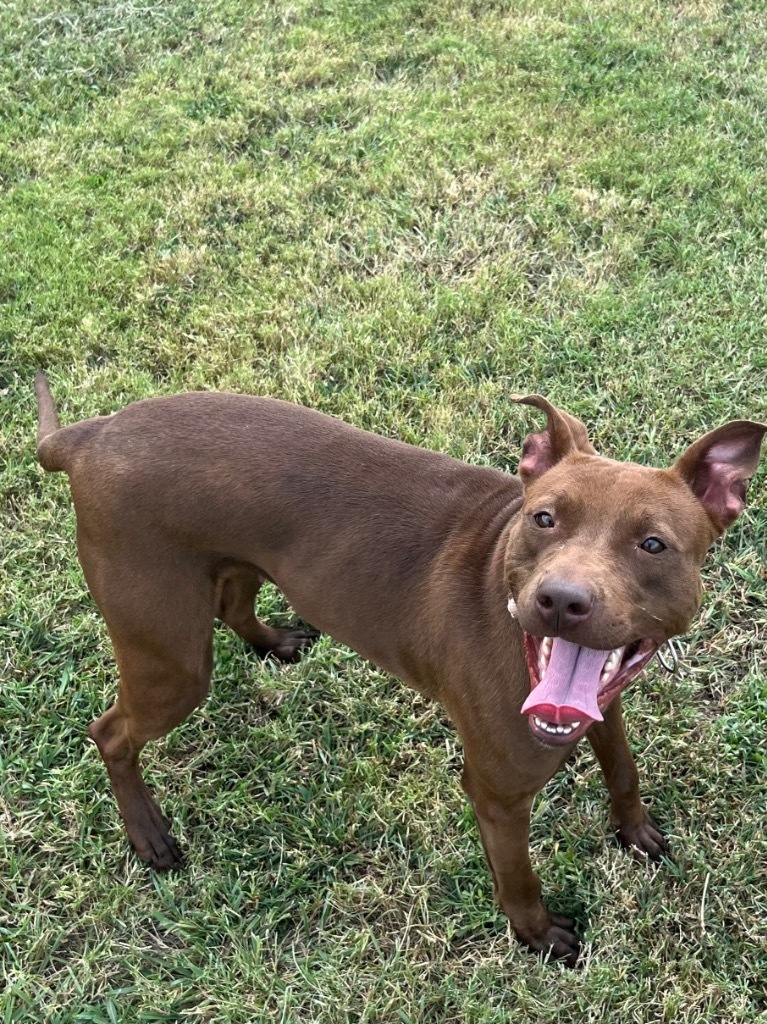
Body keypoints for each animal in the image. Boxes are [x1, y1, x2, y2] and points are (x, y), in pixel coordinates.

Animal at [35, 372, 765, 962]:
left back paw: (273, 643)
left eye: (652, 545)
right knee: (112, 733)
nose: (561, 600)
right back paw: (149, 837)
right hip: (171, 660)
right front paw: (536, 935)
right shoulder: (498, 793)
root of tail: (89, 434)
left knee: (234, 602)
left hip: (232, 569)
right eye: (543, 519)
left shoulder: (603, 708)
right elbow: (517, 875)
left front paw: (634, 831)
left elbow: (623, 767)